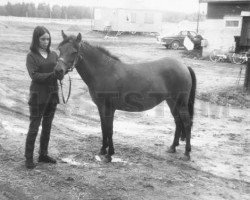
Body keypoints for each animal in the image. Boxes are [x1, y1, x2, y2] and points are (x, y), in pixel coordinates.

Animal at [55, 31, 197, 162]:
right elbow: (103, 128)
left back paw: (187, 153)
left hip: (181, 103)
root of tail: (184, 66)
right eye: (59, 49)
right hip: (171, 102)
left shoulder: (109, 108)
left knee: (187, 123)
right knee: (178, 121)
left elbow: (109, 129)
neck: (104, 71)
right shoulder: (101, 107)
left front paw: (109, 155)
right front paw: (103, 150)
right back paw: (172, 147)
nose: (58, 71)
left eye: (74, 52)